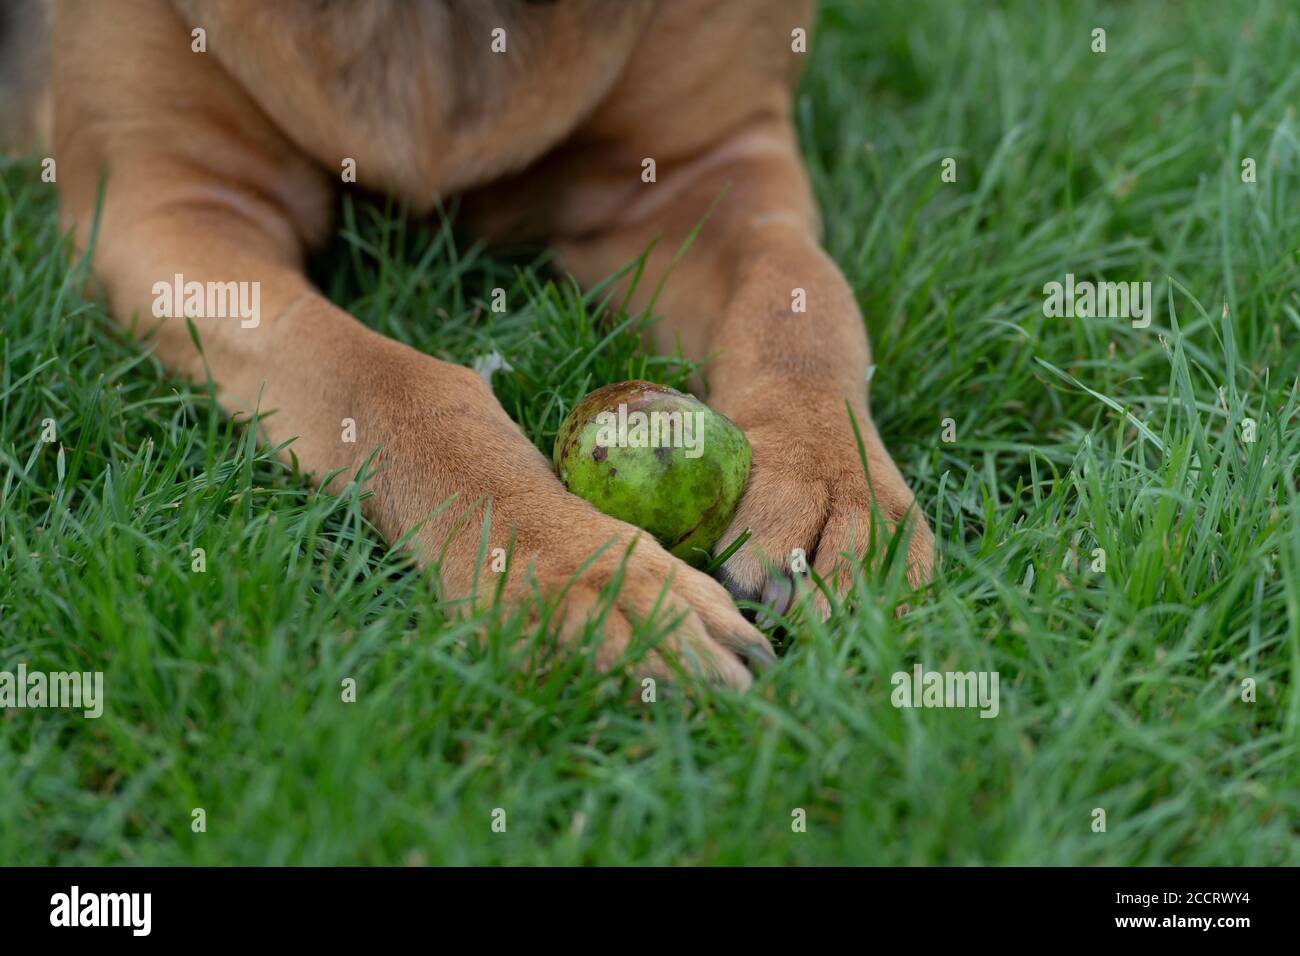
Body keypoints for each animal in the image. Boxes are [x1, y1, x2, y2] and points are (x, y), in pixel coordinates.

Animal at [2, 0, 935, 686]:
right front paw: (582, 576)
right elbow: (391, 378)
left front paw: (836, 481)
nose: (837, 481)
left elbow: (800, 305)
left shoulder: (708, 169)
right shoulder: (167, 209)